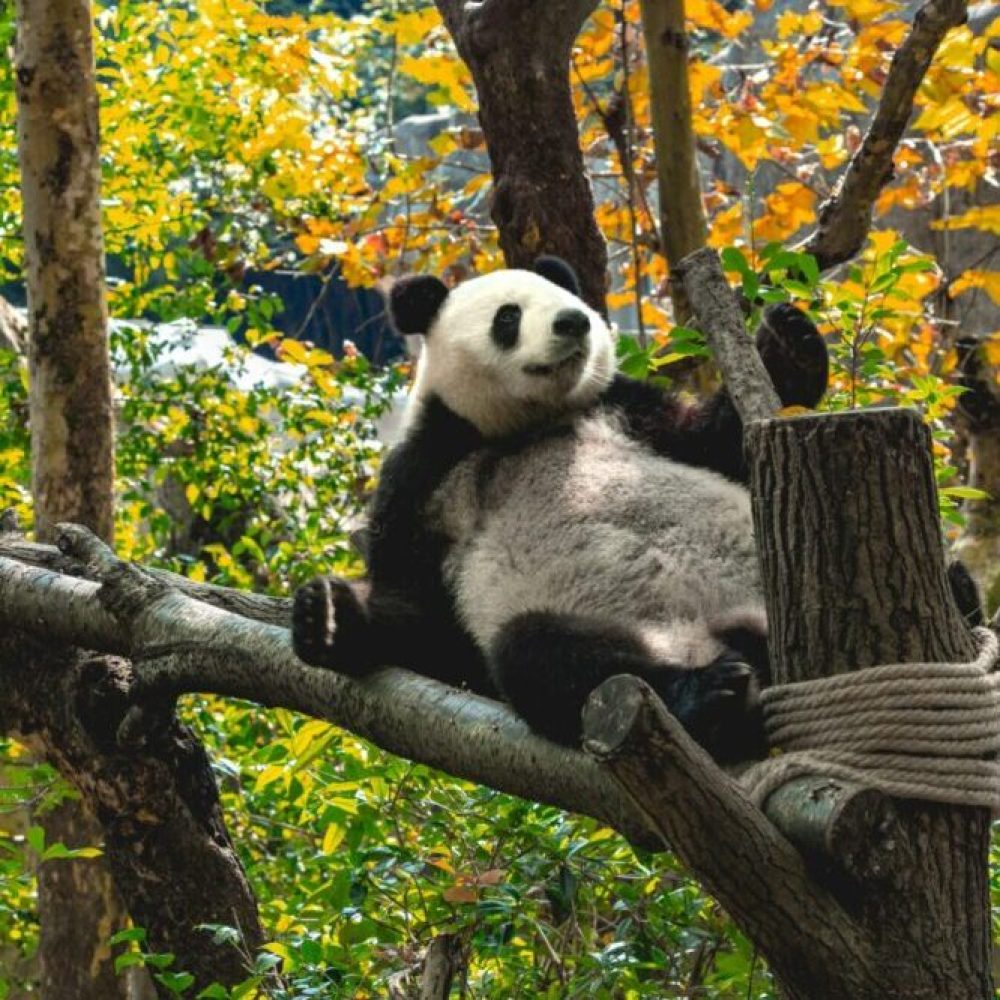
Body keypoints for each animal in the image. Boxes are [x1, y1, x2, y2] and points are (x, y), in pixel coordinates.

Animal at [292, 256, 830, 763]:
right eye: (508, 316)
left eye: (566, 299)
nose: (574, 322)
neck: (523, 425)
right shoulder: (423, 476)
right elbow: (423, 620)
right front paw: (328, 617)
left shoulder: (627, 409)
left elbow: (717, 440)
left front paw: (792, 342)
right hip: (633, 630)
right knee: (542, 656)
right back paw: (708, 695)